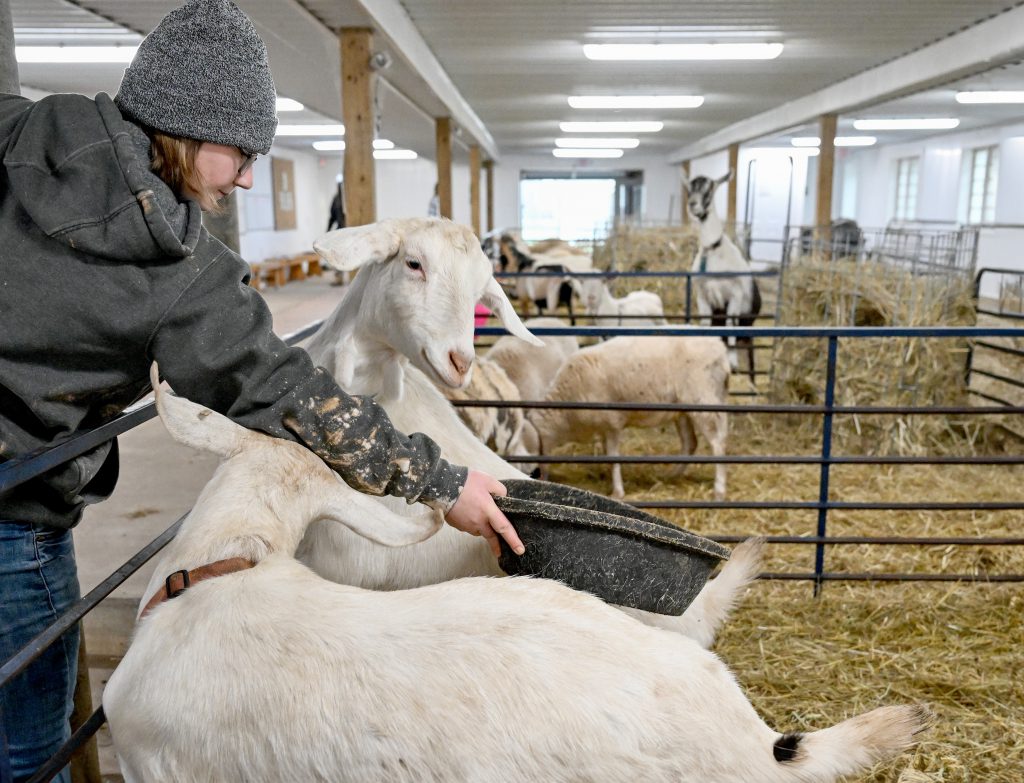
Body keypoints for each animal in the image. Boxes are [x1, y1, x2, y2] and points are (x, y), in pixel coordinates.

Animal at [528, 333, 729, 497]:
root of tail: (720, 349)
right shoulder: (604, 427)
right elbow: (606, 454)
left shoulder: (612, 422)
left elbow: (613, 458)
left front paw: (617, 492)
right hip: (682, 408)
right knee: (690, 442)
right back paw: (672, 475)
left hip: (703, 399)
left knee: (717, 443)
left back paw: (719, 490)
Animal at [684, 170, 765, 382]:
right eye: (690, 188)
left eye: (710, 188)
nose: (692, 205)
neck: (713, 251)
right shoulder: (703, 298)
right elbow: (705, 325)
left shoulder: (734, 297)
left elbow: (730, 325)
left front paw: (733, 363)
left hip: (749, 330)